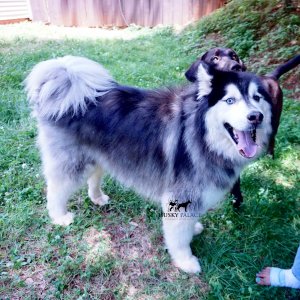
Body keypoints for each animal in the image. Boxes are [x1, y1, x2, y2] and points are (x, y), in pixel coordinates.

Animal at [25, 56, 274, 274]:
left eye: (257, 98)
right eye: (230, 100)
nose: (256, 117)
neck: (202, 135)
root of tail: (68, 87)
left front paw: (193, 229)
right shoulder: (181, 193)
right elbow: (179, 236)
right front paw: (185, 261)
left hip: (98, 156)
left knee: (93, 178)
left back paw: (97, 198)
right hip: (72, 162)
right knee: (56, 190)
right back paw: (59, 216)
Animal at [185, 48, 300, 207]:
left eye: (234, 56)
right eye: (215, 58)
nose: (236, 67)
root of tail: (270, 77)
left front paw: (236, 200)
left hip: (274, 121)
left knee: (272, 140)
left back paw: (269, 157)